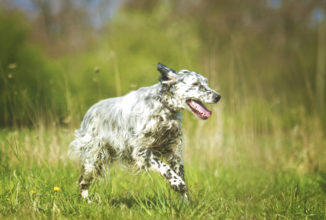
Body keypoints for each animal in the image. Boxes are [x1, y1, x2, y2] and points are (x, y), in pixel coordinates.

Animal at [69, 63, 222, 201]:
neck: (162, 109)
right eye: (195, 83)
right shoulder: (141, 151)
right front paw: (177, 183)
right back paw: (88, 202)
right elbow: (165, 168)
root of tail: (89, 111)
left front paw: (185, 204)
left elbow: (179, 174)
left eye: (206, 82)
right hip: (94, 160)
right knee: (82, 182)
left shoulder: (174, 151)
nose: (218, 96)